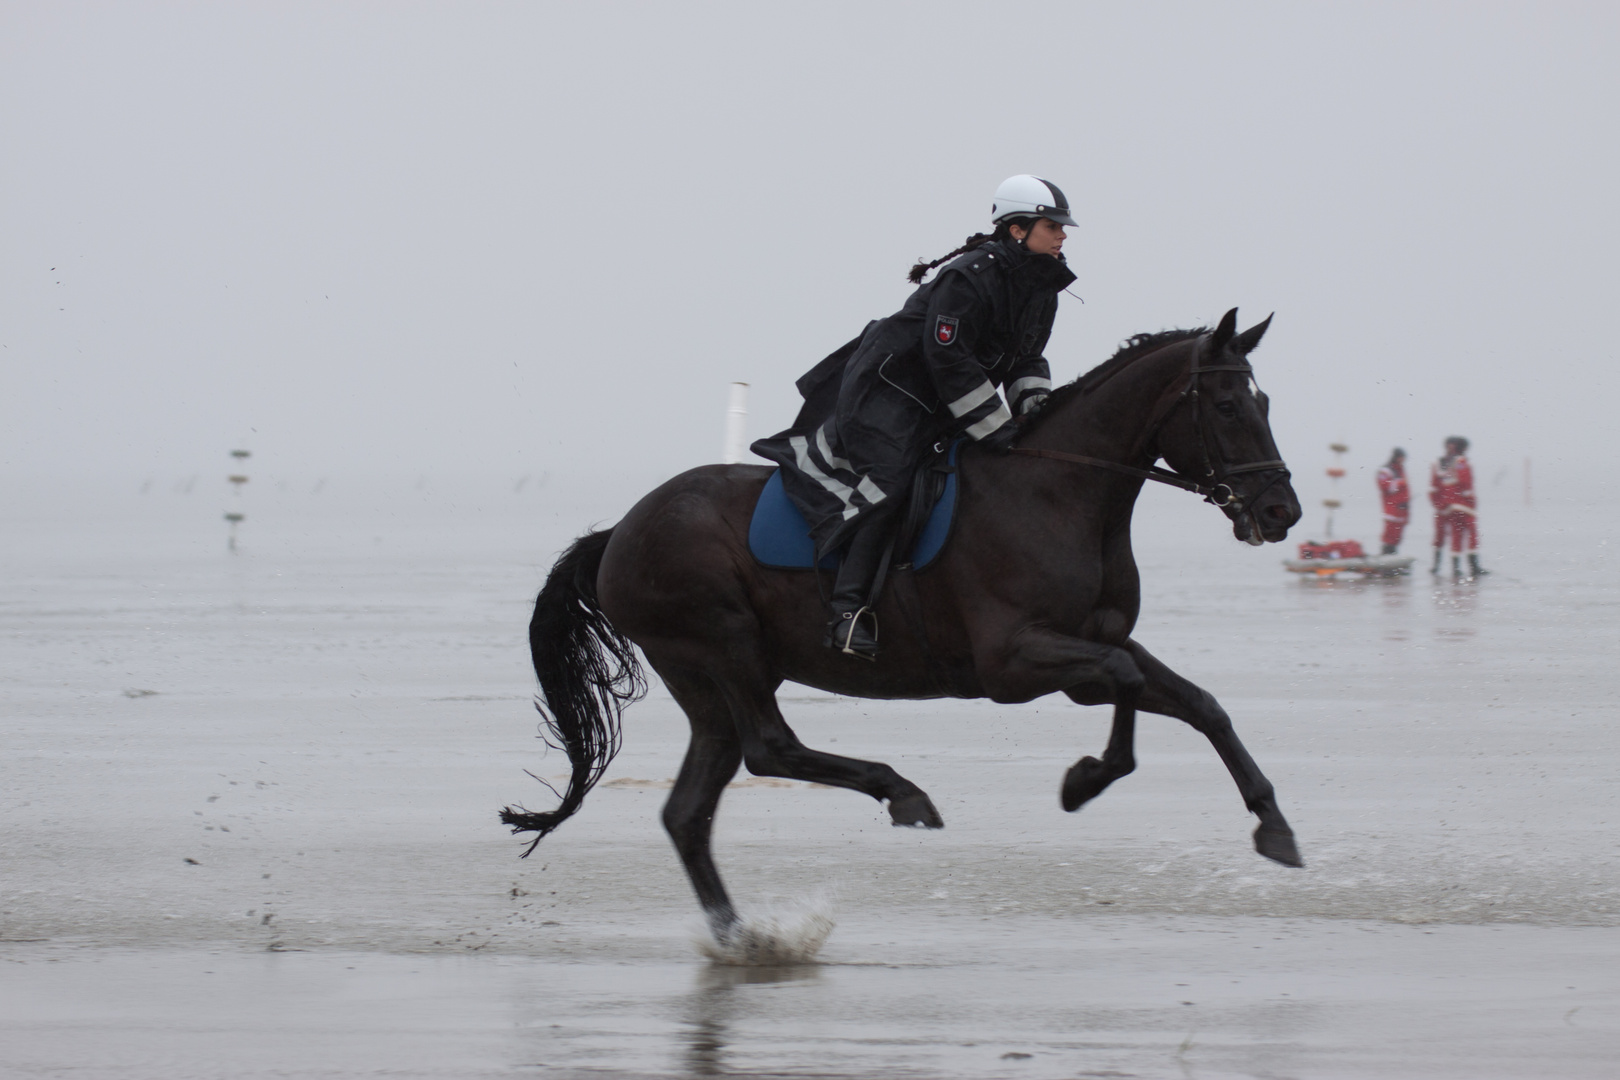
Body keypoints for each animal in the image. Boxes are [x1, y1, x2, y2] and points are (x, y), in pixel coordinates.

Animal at [498, 306, 1308, 939]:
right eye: (1229, 407)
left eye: (1266, 403)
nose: (1281, 512)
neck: (1062, 491)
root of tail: (618, 533)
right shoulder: (1013, 662)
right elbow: (1127, 679)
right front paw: (1088, 779)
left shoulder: (1092, 642)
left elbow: (1195, 702)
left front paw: (1273, 826)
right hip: (722, 643)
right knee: (769, 748)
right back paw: (901, 795)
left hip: (701, 681)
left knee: (690, 810)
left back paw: (743, 939)